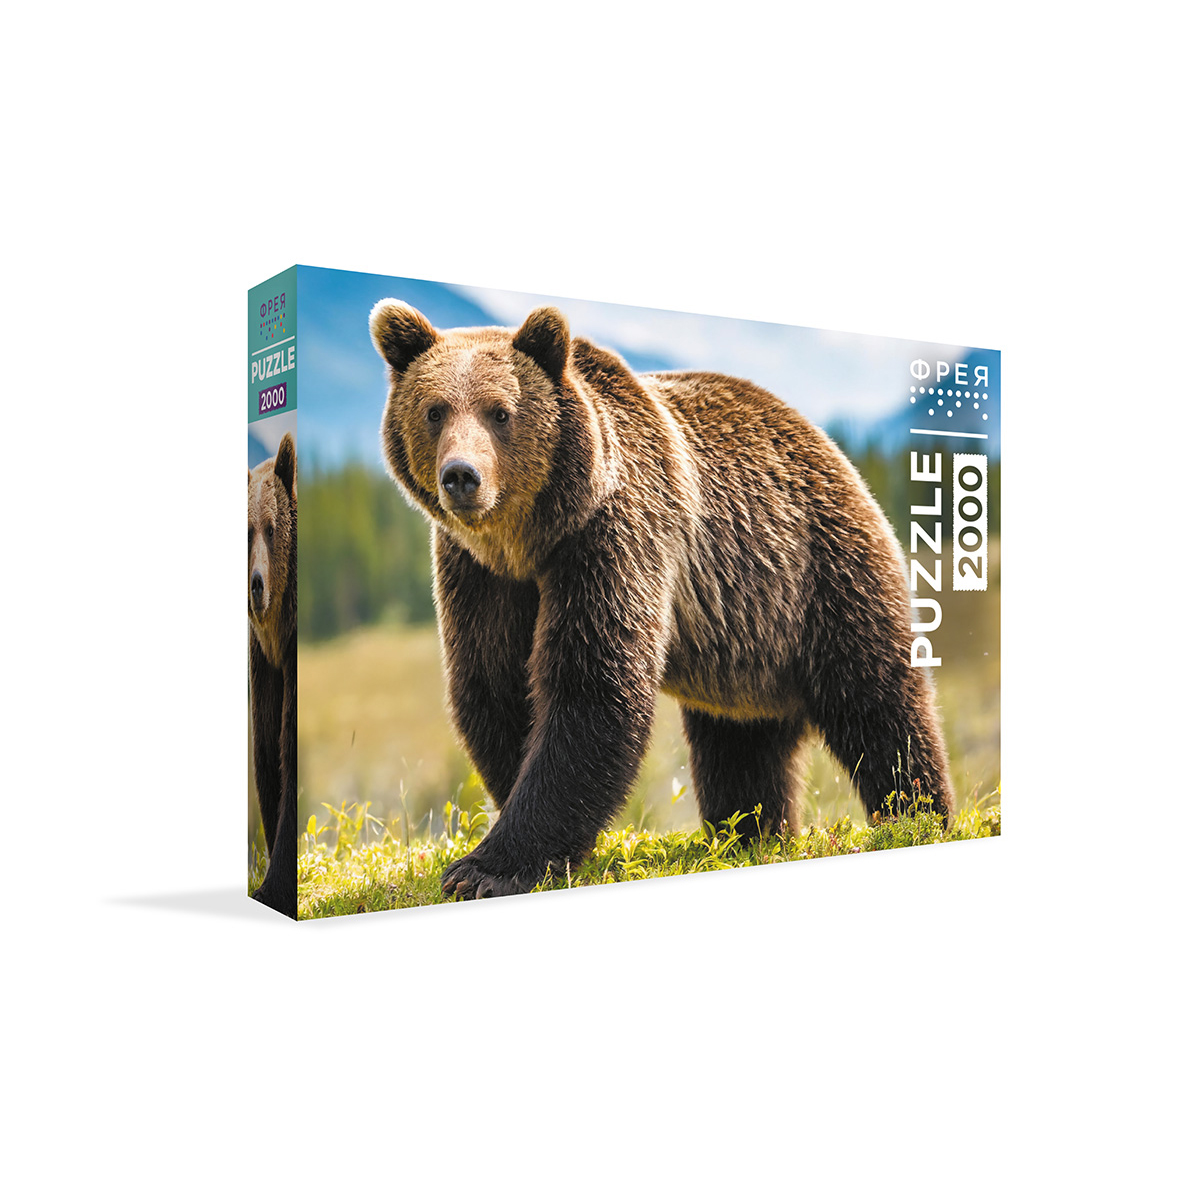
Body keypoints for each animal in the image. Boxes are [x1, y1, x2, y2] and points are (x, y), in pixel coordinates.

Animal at [370, 301, 953, 901]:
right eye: (435, 411)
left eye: (500, 413)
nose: (462, 476)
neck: (531, 540)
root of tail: (820, 438)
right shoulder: (479, 573)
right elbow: (494, 683)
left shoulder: (614, 533)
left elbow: (592, 684)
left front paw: (487, 868)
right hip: (745, 643)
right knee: (741, 745)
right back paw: (753, 833)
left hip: (820, 572)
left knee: (877, 699)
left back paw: (917, 814)